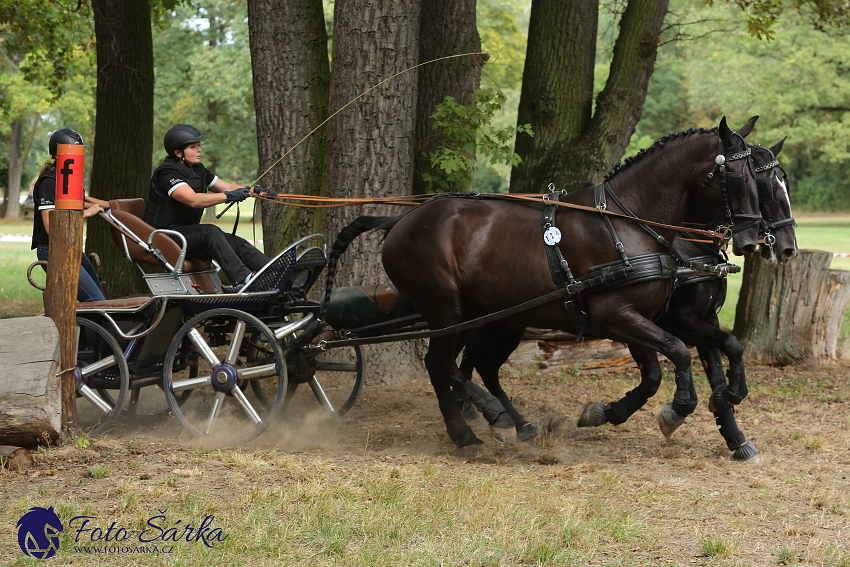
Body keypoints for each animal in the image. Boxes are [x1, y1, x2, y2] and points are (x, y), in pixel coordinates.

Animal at [324, 117, 760, 450]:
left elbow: (661, 369)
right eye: (741, 179)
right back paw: (478, 424)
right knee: (442, 364)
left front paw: (610, 411)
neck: (628, 221)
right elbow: (679, 353)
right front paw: (679, 409)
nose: (754, 240)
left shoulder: (640, 316)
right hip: (447, 311)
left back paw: (499, 424)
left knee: (469, 366)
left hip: (490, 318)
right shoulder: (616, 315)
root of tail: (399, 220)